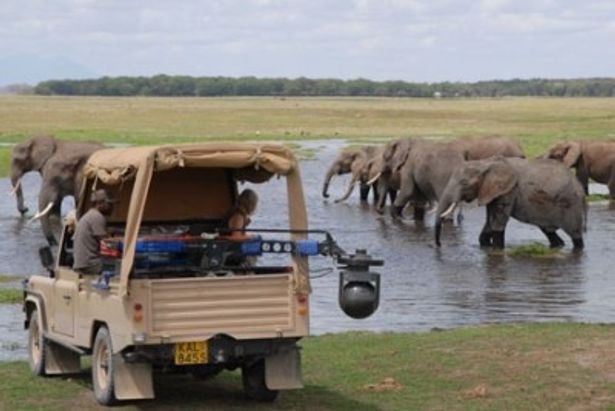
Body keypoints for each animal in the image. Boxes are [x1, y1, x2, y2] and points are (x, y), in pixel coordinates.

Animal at [434, 157, 588, 248]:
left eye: (464, 183)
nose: (439, 245)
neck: (485, 163)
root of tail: (580, 187)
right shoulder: (492, 191)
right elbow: (489, 222)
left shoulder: (508, 191)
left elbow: (498, 224)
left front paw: (497, 250)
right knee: (548, 231)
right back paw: (558, 245)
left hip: (571, 205)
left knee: (576, 237)